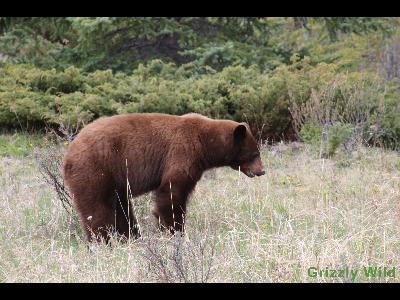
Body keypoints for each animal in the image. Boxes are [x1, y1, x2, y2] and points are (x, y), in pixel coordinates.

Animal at [62, 112, 266, 241]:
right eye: (255, 154)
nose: (262, 171)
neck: (205, 141)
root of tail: (69, 153)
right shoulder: (182, 151)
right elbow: (171, 192)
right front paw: (175, 230)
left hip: (113, 180)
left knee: (121, 209)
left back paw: (131, 236)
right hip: (95, 170)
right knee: (96, 209)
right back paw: (102, 241)